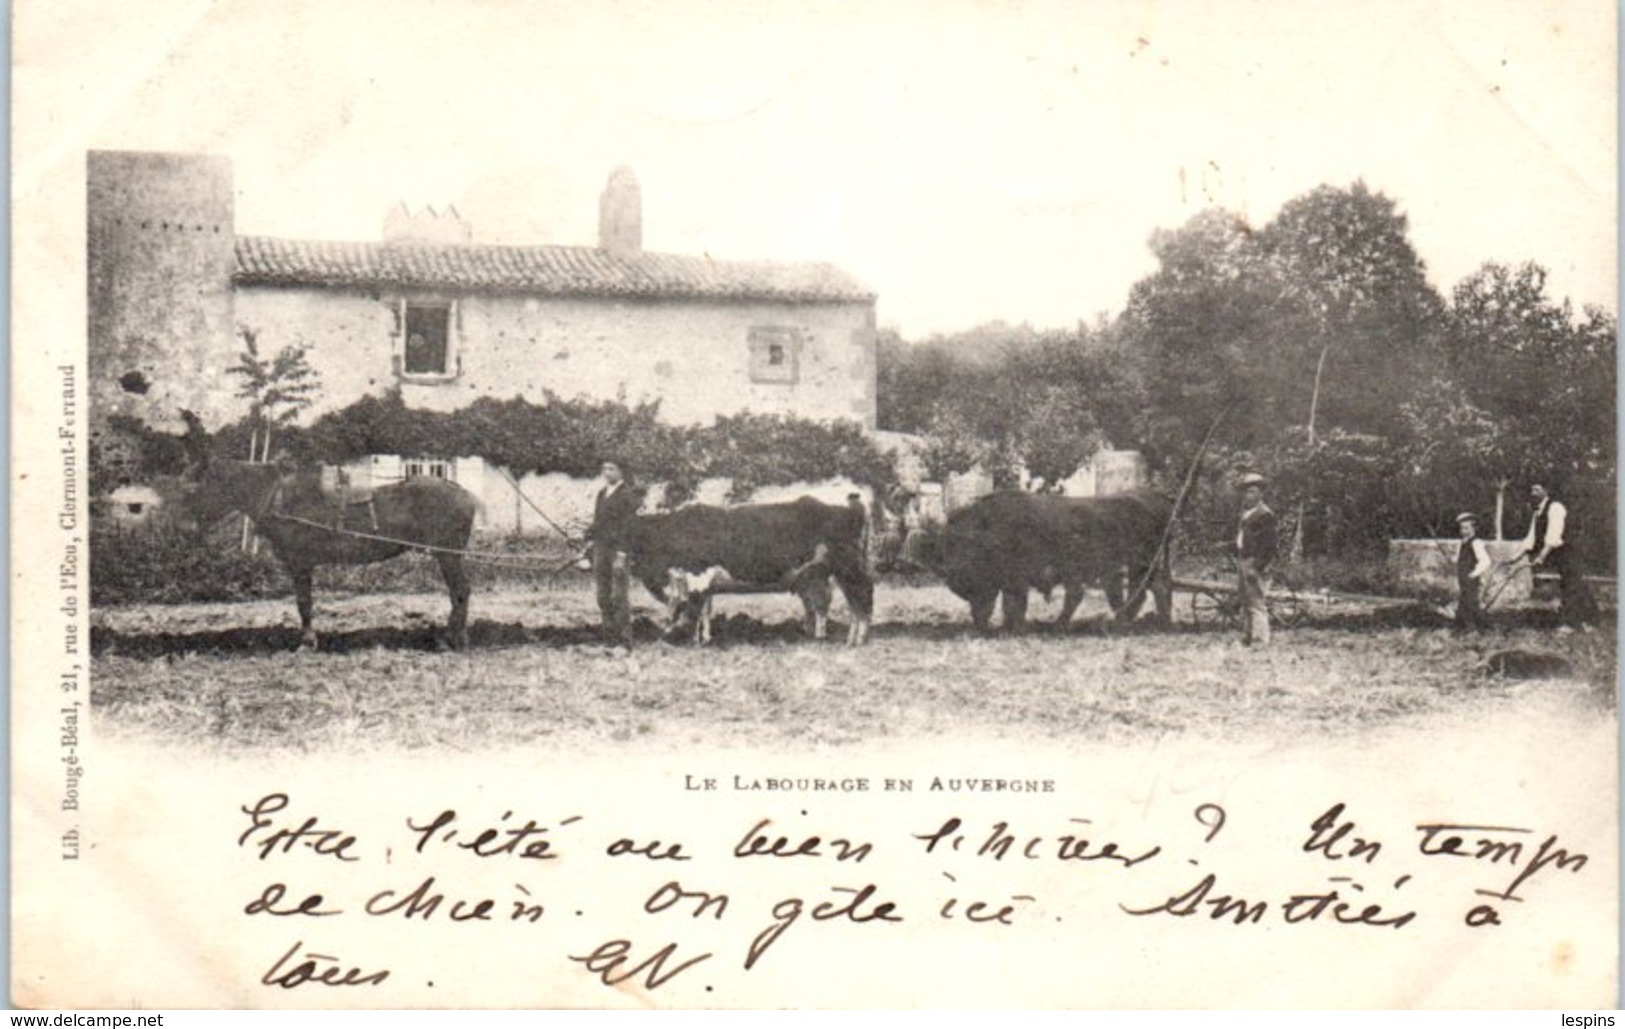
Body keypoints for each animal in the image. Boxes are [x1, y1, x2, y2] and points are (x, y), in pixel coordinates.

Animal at [179, 411, 481, 646]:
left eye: (193, 489)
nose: (185, 529)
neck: (279, 495)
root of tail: (464, 492)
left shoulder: (300, 561)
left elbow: (304, 601)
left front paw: (307, 641)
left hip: (448, 554)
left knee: (461, 591)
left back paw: (454, 639)